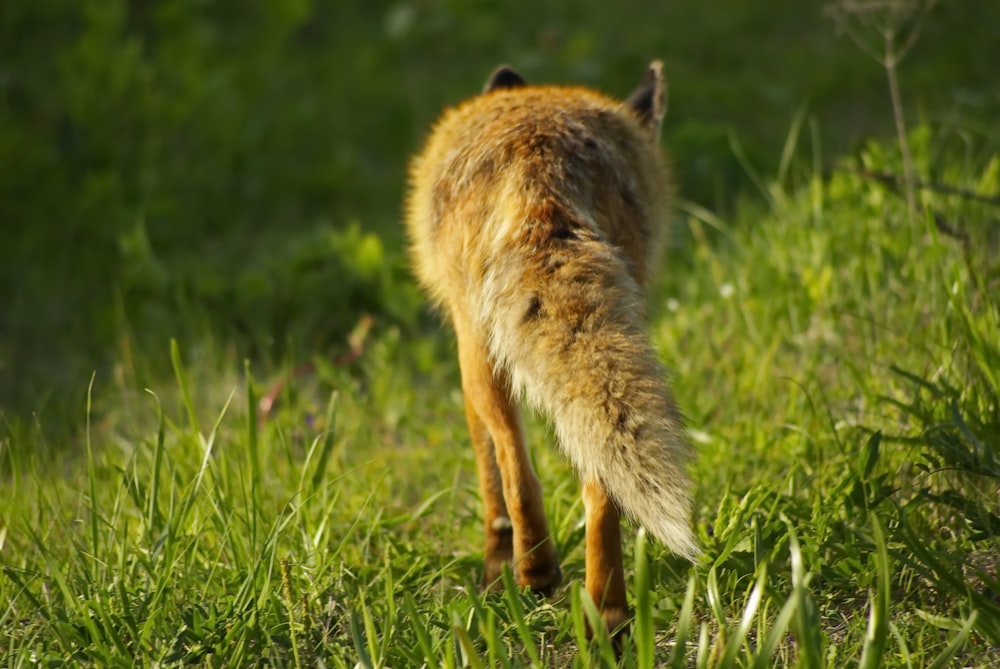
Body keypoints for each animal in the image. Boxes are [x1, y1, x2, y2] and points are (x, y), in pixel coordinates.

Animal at [402, 60, 700, 636]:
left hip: (481, 345)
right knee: (599, 482)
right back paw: (607, 614)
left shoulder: (465, 338)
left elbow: (489, 472)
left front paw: (495, 561)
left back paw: (534, 570)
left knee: (516, 464)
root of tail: (537, 153)